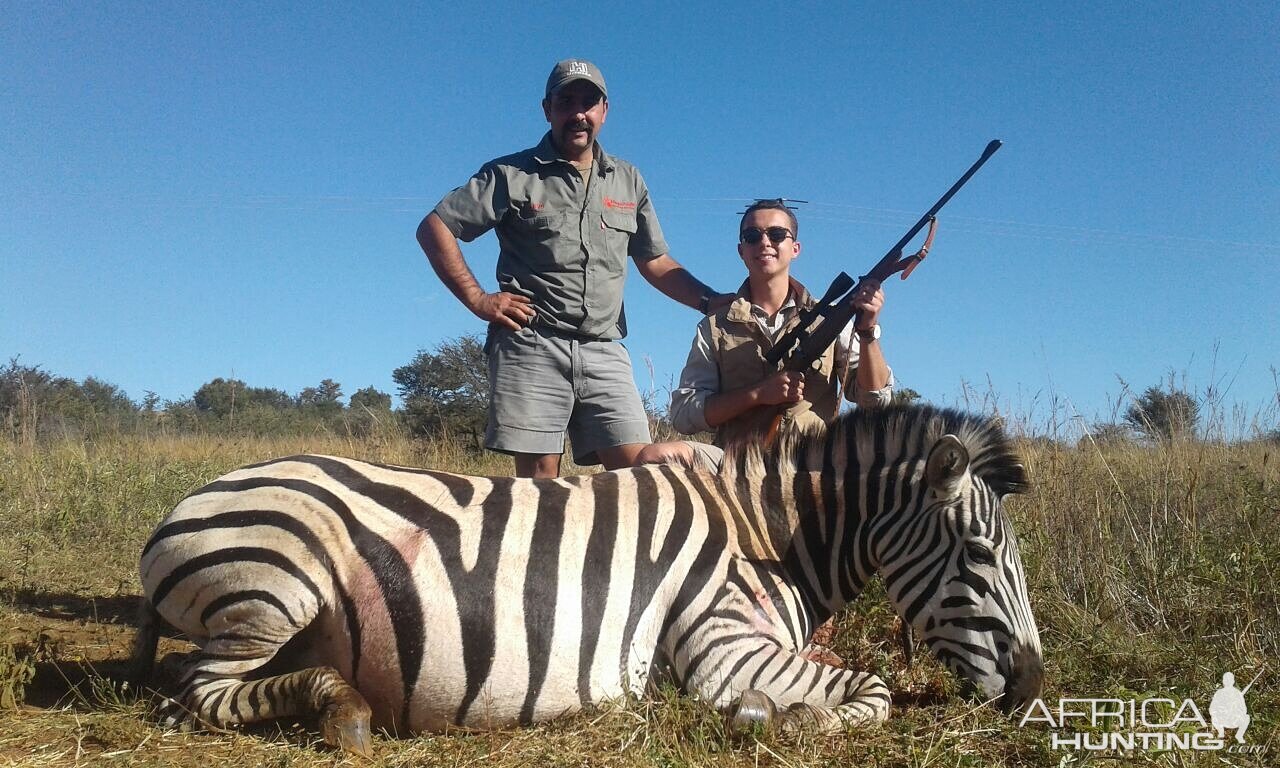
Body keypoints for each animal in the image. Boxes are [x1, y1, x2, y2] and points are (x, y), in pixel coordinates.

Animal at [135, 404, 1044, 752]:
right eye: (978, 554)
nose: (1035, 686)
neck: (768, 538)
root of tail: (188, 500)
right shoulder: (719, 645)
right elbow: (876, 691)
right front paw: (777, 719)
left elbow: (863, 681)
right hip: (274, 587)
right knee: (200, 689)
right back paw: (343, 711)